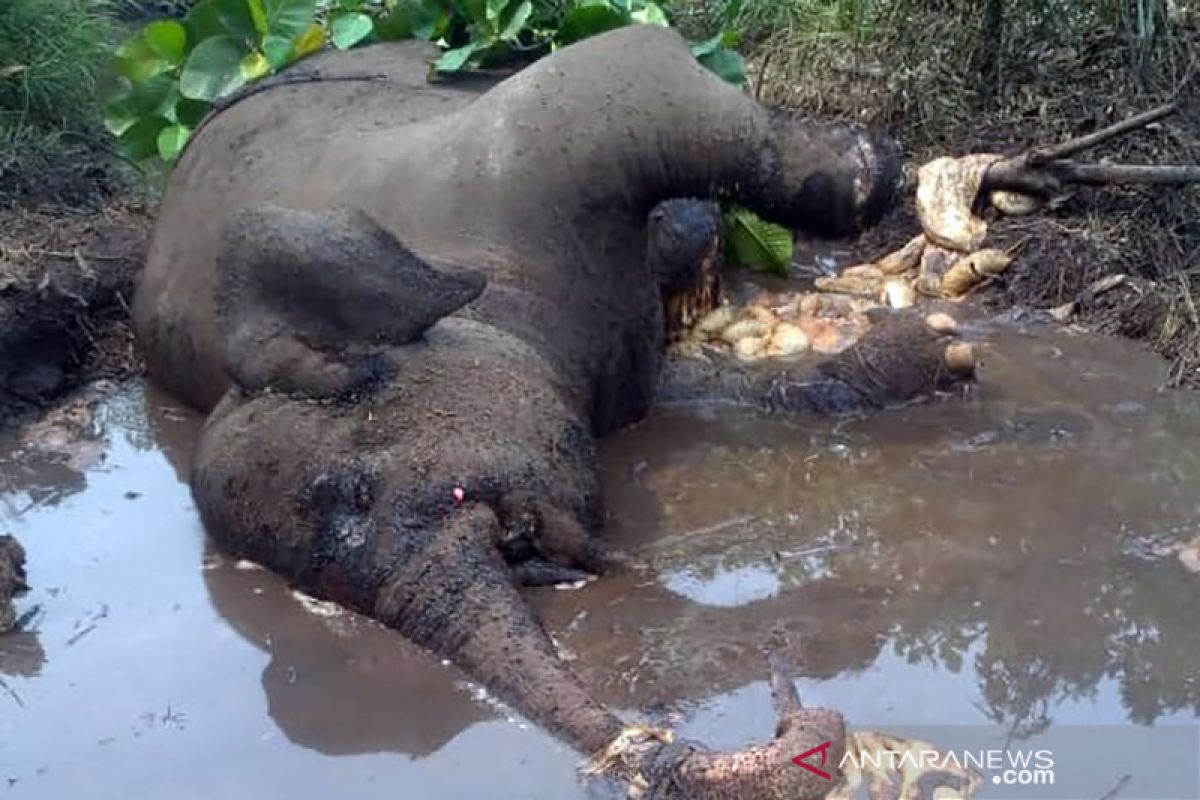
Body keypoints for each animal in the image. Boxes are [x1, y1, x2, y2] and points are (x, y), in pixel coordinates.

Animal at [133, 25, 974, 800]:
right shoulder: (603, 372)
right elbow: (690, 392)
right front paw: (931, 355)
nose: (645, 751)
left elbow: (648, 60)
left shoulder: (544, 137)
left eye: (357, 489)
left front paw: (884, 176)